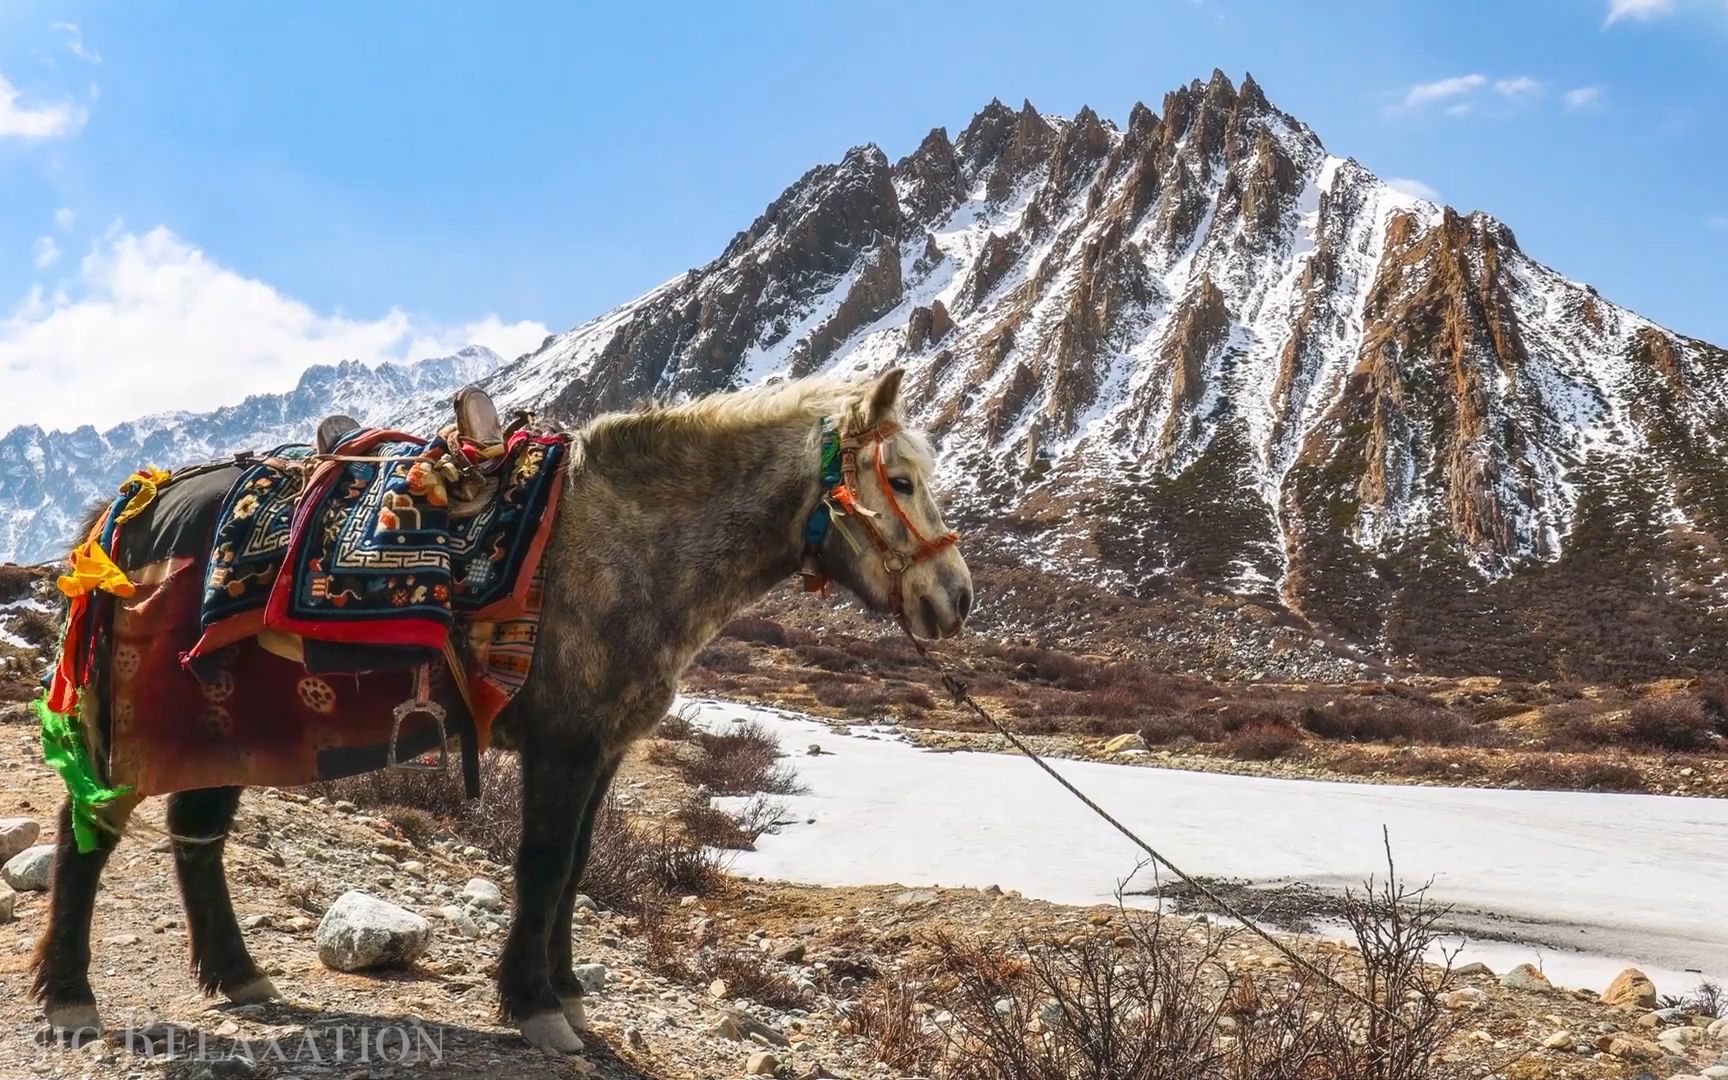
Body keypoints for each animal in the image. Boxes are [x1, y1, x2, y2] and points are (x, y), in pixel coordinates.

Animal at [30, 366, 974, 1050]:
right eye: (898, 479)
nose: (956, 599)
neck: (625, 543)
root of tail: (130, 509)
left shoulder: (605, 748)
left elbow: (578, 867)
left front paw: (568, 992)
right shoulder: (564, 744)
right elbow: (546, 866)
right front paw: (536, 1008)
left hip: (224, 725)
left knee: (196, 838)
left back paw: (239, 977)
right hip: (142, 723)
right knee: (90, 831)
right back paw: (69, 997)